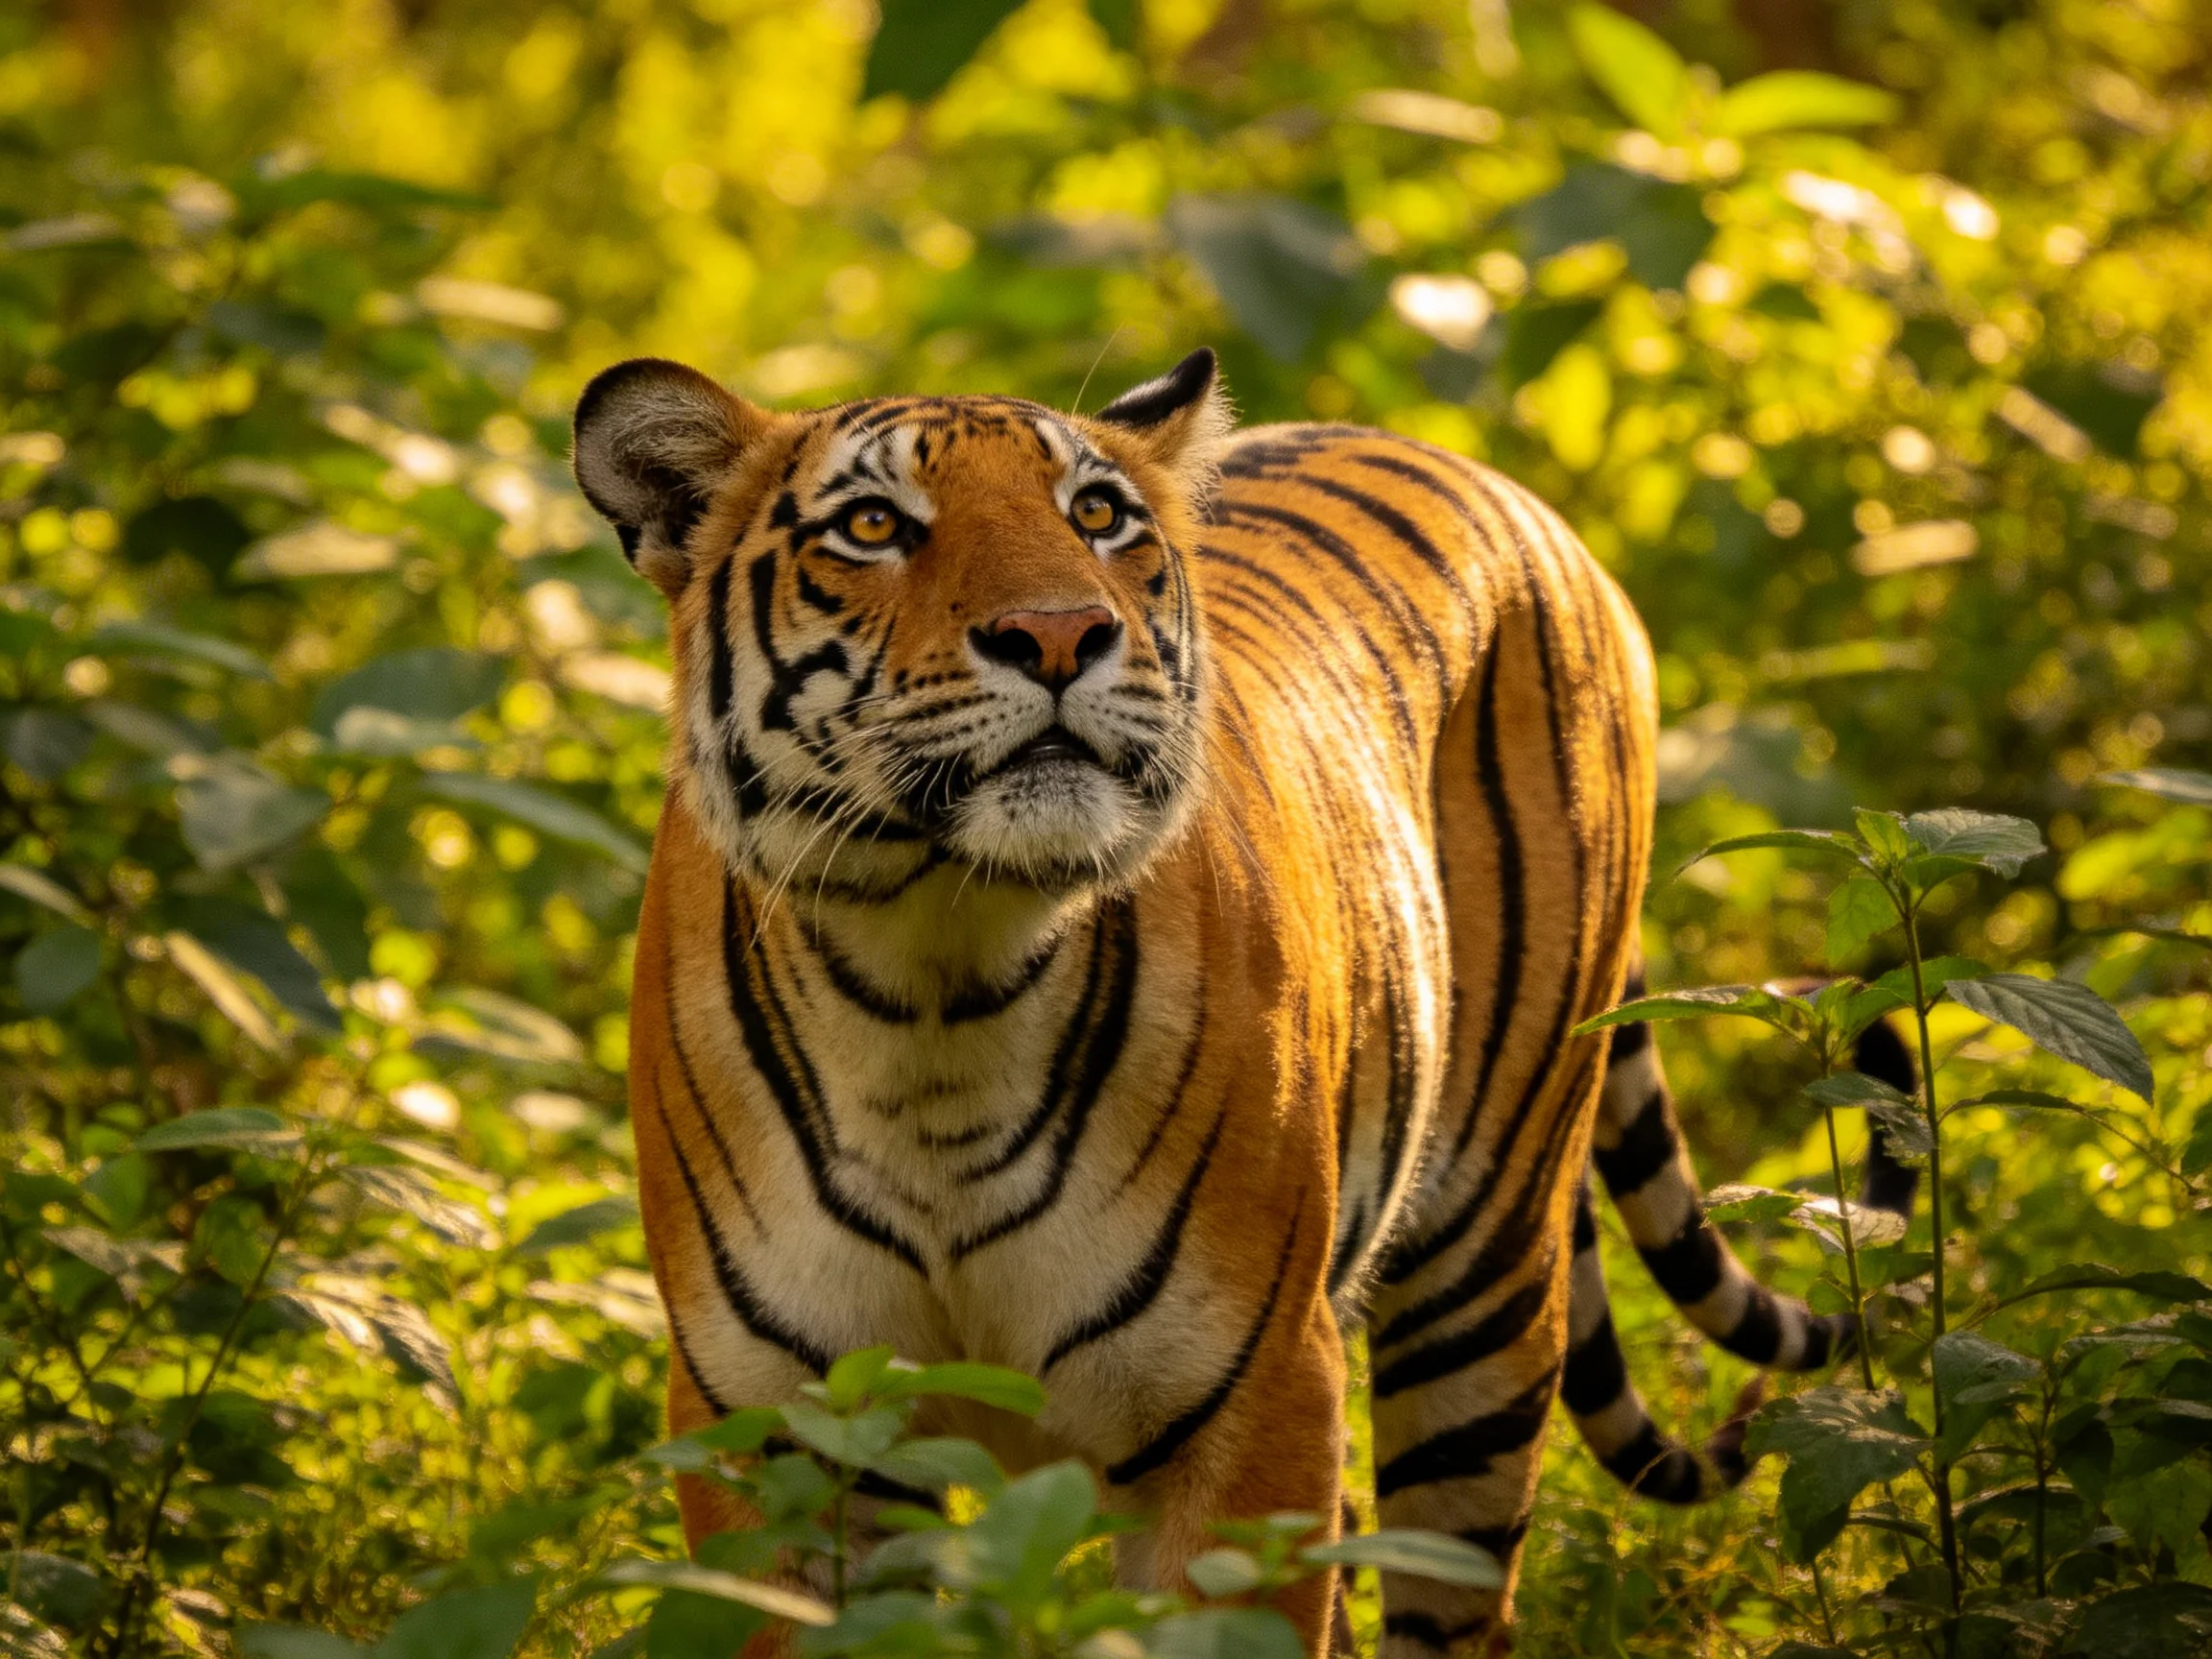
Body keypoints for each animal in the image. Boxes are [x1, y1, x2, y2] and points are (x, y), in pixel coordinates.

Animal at [570, 348, 1907, 1655]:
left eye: (1096, 516)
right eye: (871, 525)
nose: (1061, 633)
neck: (937, 986)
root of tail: (1501, 485)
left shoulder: (1256, 1394)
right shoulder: (771, 1429)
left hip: (1485, 1278)